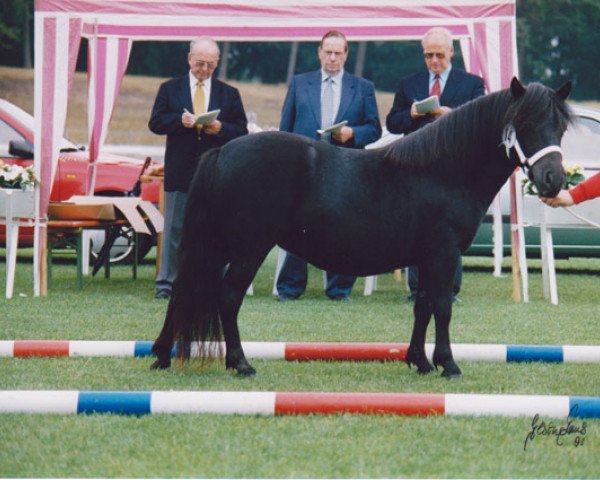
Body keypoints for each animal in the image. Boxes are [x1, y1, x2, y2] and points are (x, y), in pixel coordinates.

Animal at [150, 78, 572, 378]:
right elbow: (441, 307)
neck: (443, 170)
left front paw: (419, 361)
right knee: (228, 296)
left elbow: (422, 307)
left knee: (185, 290)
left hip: (216, 245)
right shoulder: (444, 254)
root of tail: (223, 150)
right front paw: (448, 365)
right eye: (525, 123)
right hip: (248, 248)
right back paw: (239, 363)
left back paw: (161, 356)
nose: (553, 180)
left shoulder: (425, 258)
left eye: (561, 128)